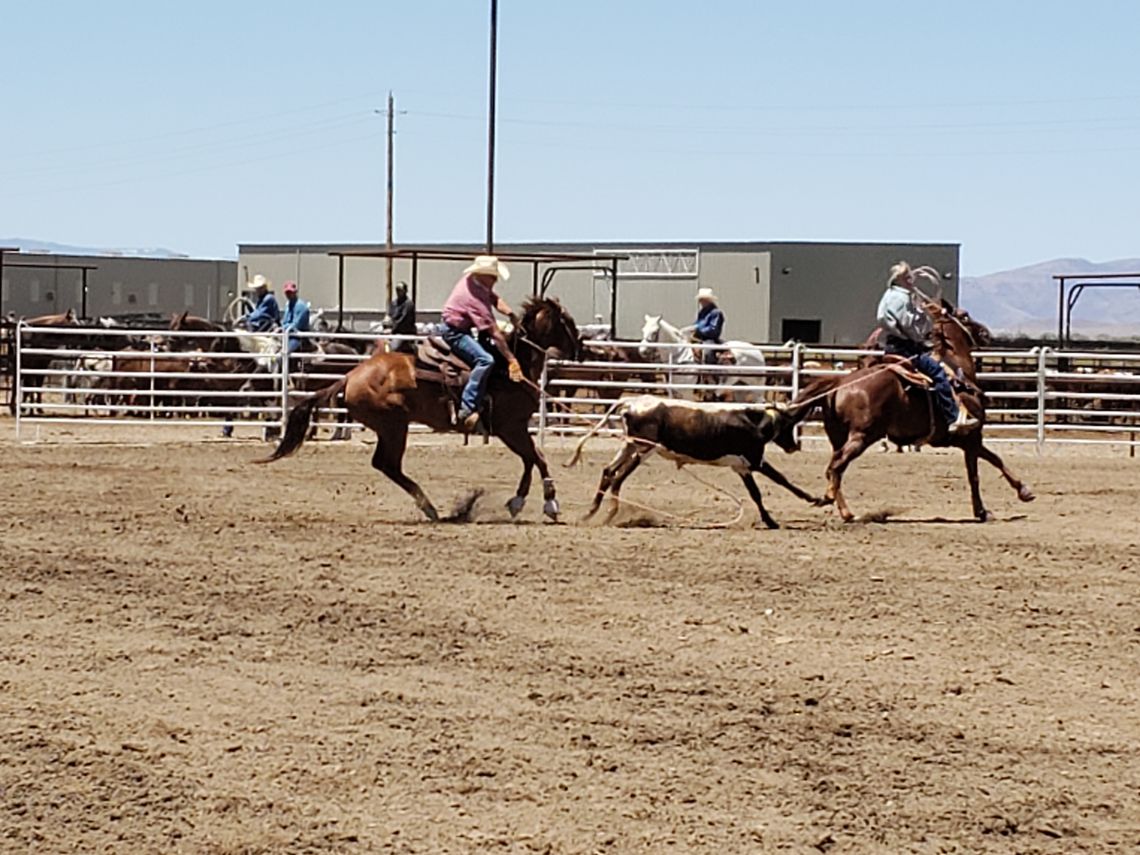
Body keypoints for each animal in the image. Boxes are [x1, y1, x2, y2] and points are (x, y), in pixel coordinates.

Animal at [258, 298, 579, 522]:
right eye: (567, 322)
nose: (579, 349)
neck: (510, 367)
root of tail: (349, 376)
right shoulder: (509, 427)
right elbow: (536, 458)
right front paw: (548, 503)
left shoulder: (514, 428)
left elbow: (531, 459)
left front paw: (519, 502)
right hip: (394, 426)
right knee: (387, 464)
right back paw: (430, 508)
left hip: (391, 428)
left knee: (385, 465)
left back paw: (430, 507)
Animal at [638, 316, 770, 403]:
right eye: (643, 330)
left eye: (655, 332)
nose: (642, 350)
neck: (680, 357)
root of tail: (758, 352)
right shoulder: (674, 393)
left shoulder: (687, 393)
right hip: (740, 387)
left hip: (757, 387)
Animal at [784, 305, 1035, 522]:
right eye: (964, 316)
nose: (985, 332)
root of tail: (841, 382)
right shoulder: (971, 437)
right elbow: (981, 470)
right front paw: (993, 506)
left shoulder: (965, 441)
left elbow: (991, 461)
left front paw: (1015, 495)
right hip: (862, 436)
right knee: (836, 468)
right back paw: (843, 510)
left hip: (838, 437)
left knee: (833, 467)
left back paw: (836, 504)